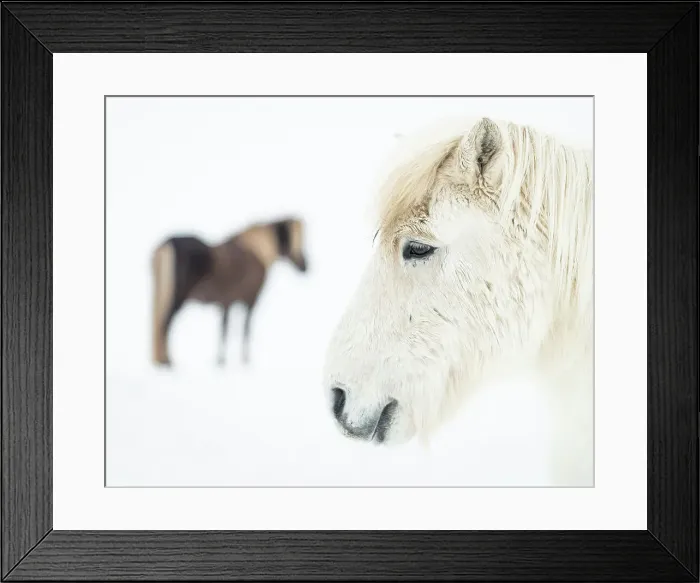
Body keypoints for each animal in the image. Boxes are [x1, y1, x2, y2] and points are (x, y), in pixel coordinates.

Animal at [151, 217, 308, 367]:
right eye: (294, 238)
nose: (305, 267)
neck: (256, 250)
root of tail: (166, 244)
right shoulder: (250, 300)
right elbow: (243, 329)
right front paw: (243, 360)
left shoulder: (226, 303)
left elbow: (224, 329)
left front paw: (221, 361)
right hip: (177, 298)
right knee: (164, 325)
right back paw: (167, 361)